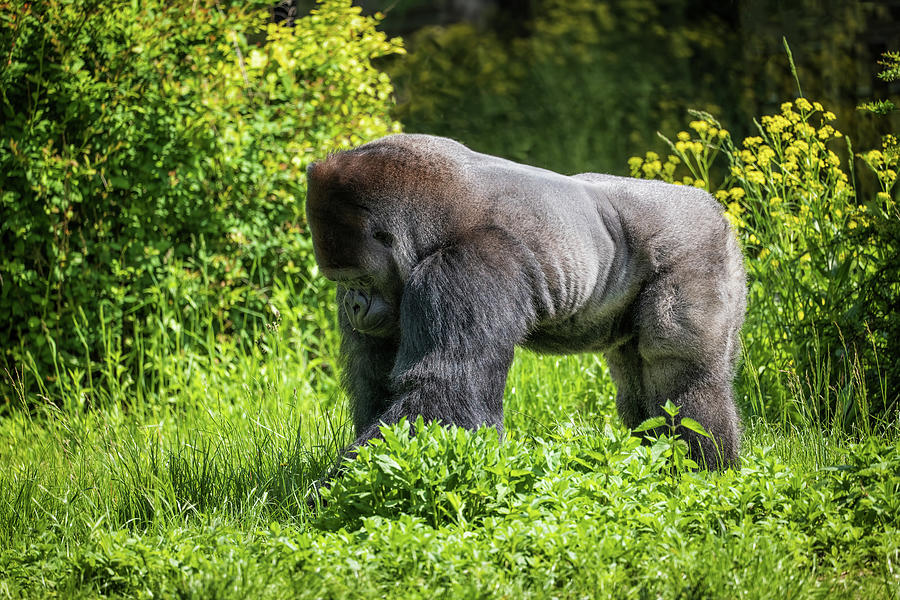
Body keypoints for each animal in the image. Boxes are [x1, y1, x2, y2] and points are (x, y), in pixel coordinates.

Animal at [306, 134, 748, 472]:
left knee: (681, 377)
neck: (430, 222)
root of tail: (714, 207)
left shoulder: (466, 266)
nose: (353, 306)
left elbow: (442, 394)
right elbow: (379, 385)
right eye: (342, 283)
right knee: (637, 381)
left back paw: (702, 467)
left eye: (362, 279)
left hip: (700, 248)